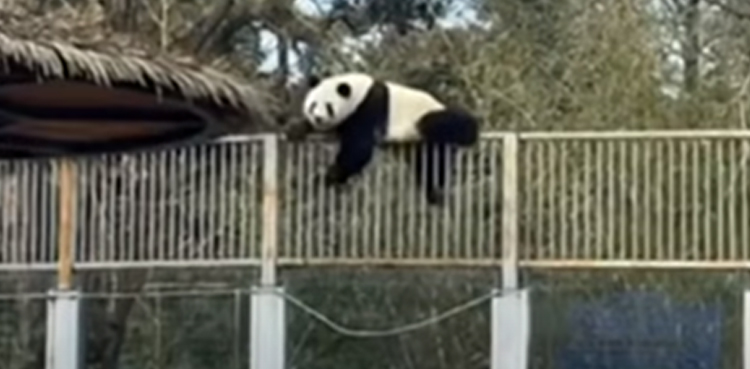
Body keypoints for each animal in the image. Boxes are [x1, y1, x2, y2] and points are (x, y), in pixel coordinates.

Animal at [290, 72, 482, 204]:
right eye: (313, 105)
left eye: (329, 106)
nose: (318, 118)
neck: (360, 90)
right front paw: (296, 128)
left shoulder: (369, 107)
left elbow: (359, 148)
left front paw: (329, 175)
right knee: (427, 166)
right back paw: (433, 194)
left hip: (429, 119)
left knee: (449, 130)